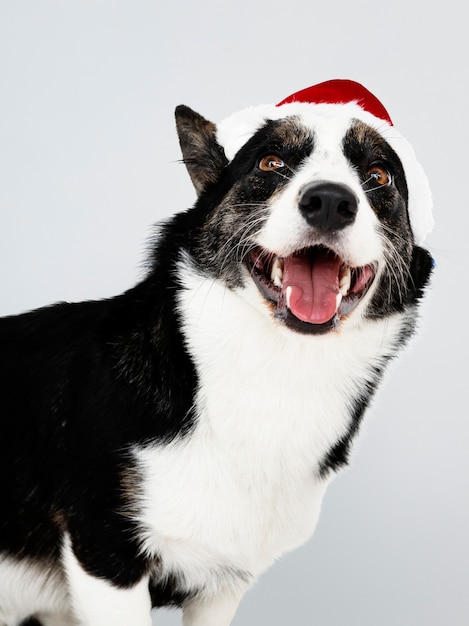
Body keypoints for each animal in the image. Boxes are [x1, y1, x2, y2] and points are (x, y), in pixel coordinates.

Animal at [0, 80, 434, 620]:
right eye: (270, 163)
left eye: (379, 176)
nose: (330, 201)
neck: (275, 370)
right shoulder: (106, 556)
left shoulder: (224, 584)